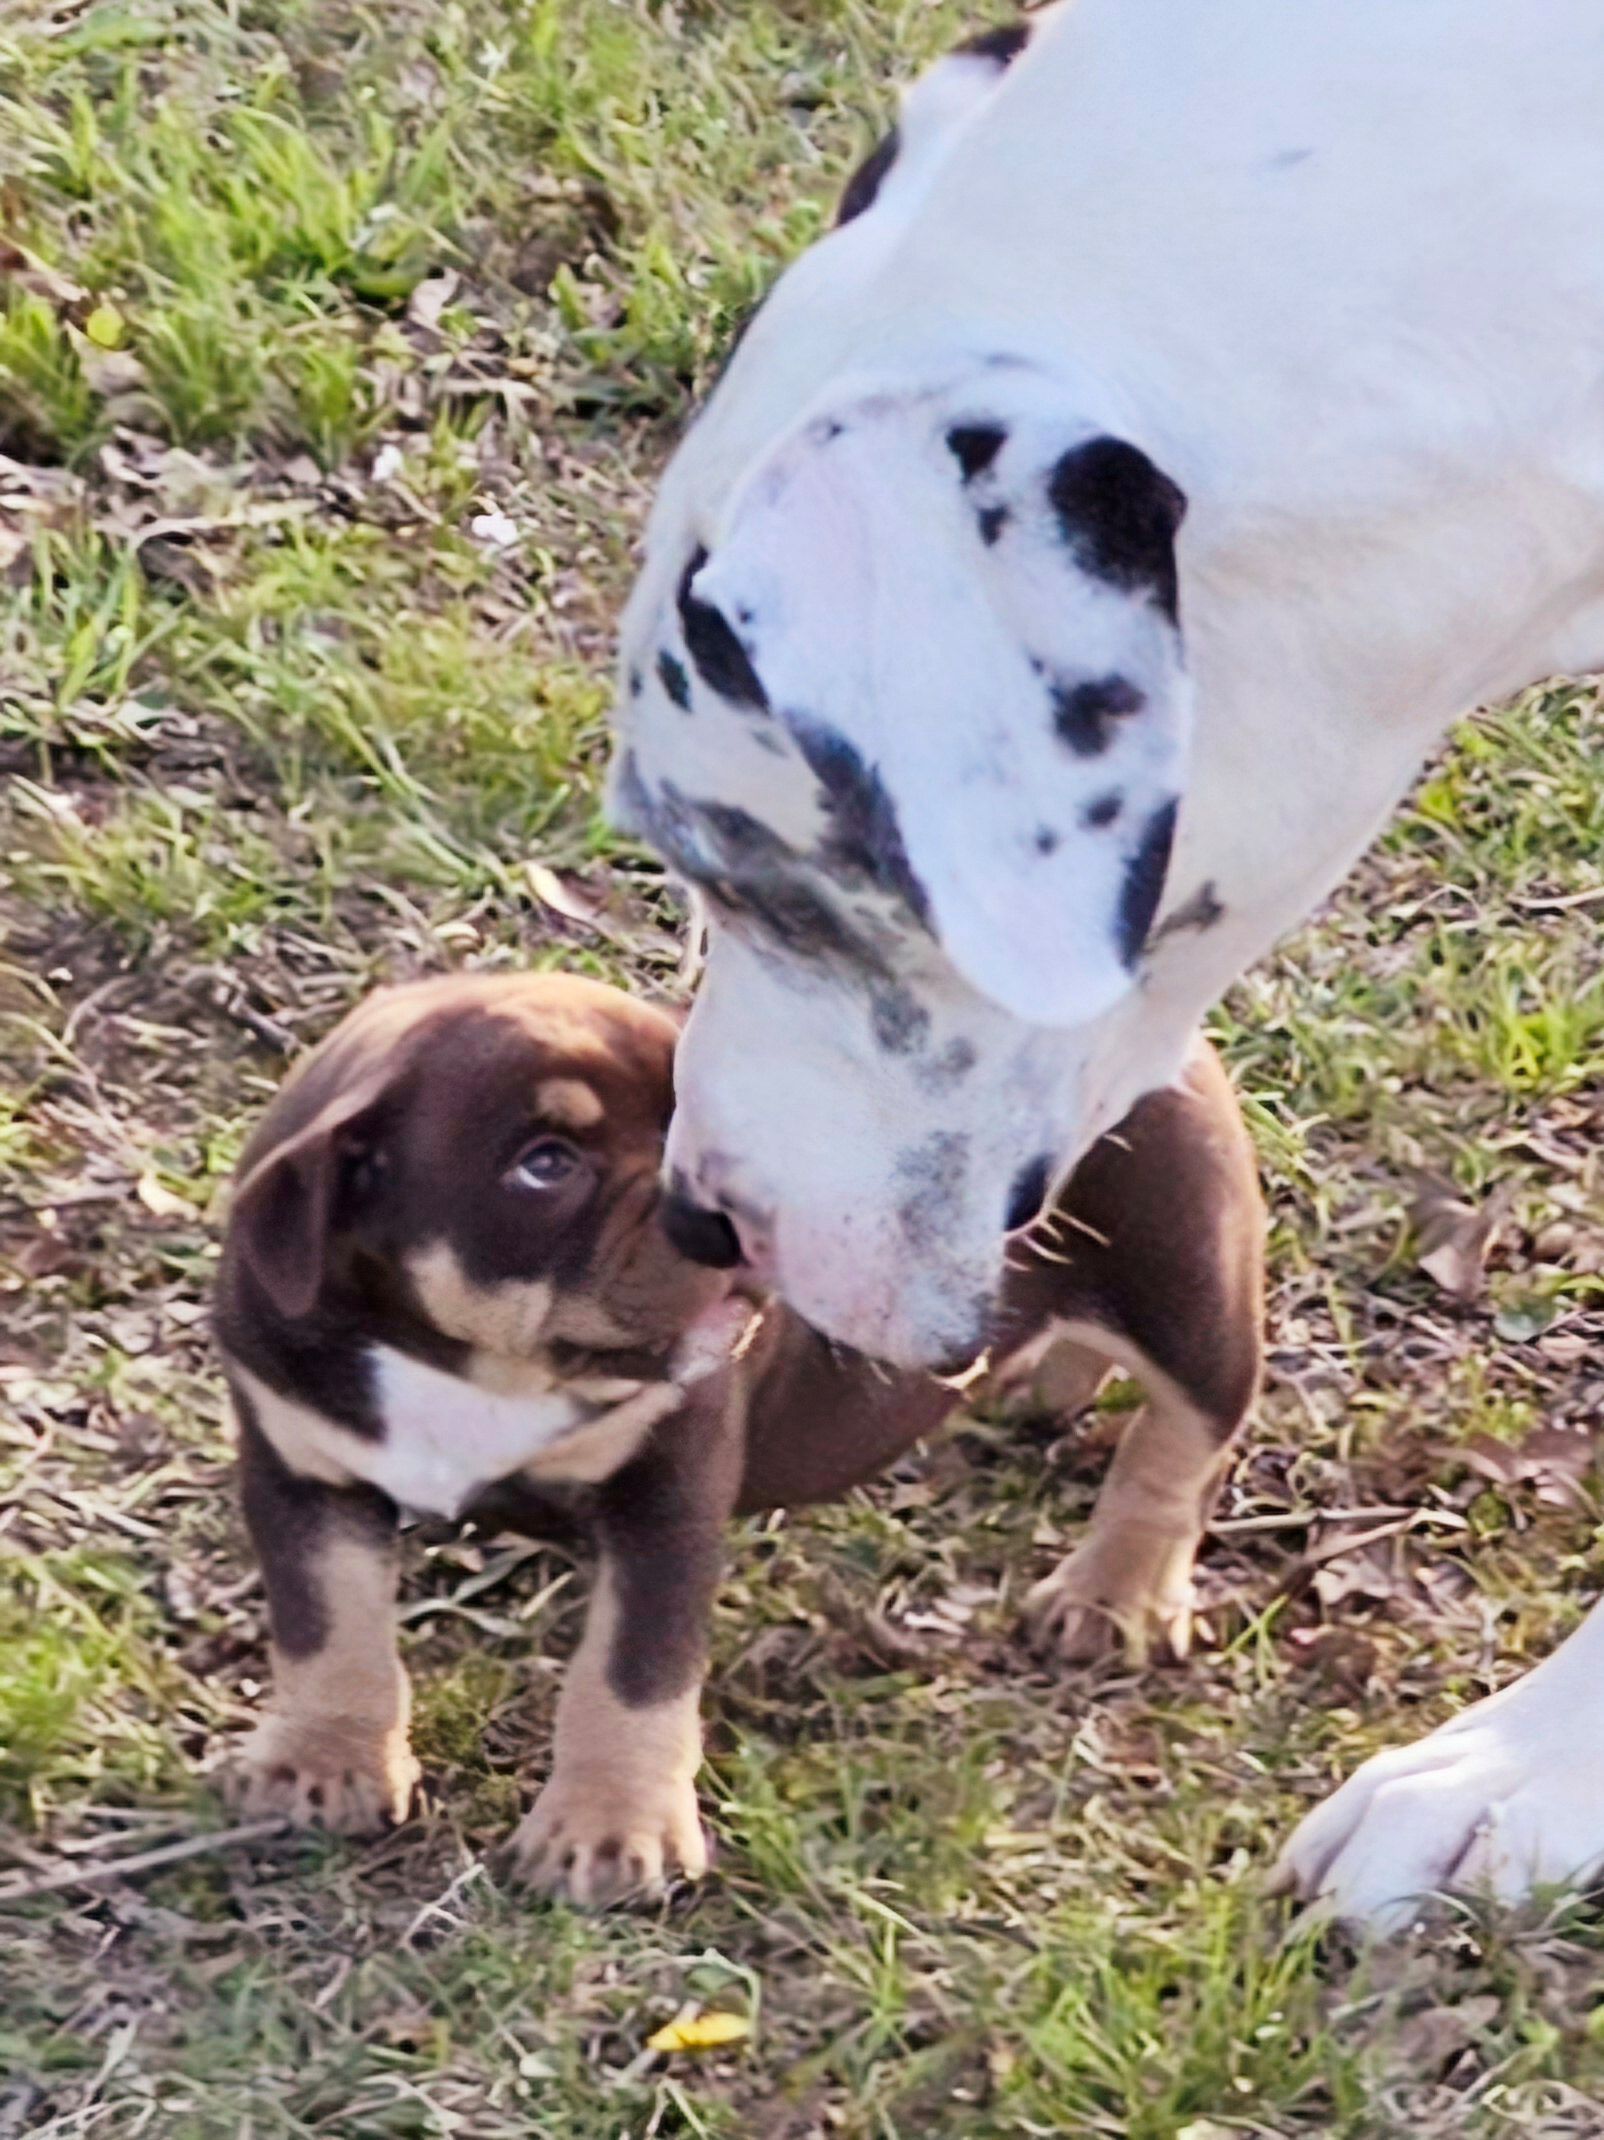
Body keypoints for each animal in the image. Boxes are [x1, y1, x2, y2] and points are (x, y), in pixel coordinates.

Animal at [213, 971, 1262, 1904]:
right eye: (544, 1164)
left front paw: (609, 1833)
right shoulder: (302, 1468)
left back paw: (1113, 1595)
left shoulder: (666, 1490)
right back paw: (1034, 1390)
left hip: (1182, 1283)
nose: (723, 1199)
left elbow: (630, 1672)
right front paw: (323, 1763)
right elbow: (330, 1626)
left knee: (1183, 1447)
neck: (476, 1369)